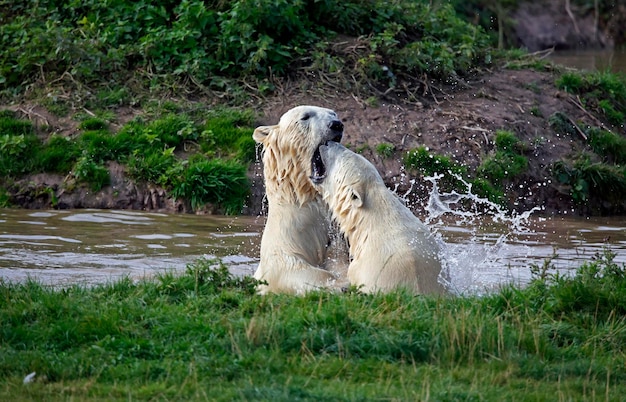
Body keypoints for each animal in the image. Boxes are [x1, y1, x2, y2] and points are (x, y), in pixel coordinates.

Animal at [250, 106, 346, 296]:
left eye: (333, 113)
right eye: (305, 117)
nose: (336, 124)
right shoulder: (283, 258)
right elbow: (303, 274)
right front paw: (338, 285)